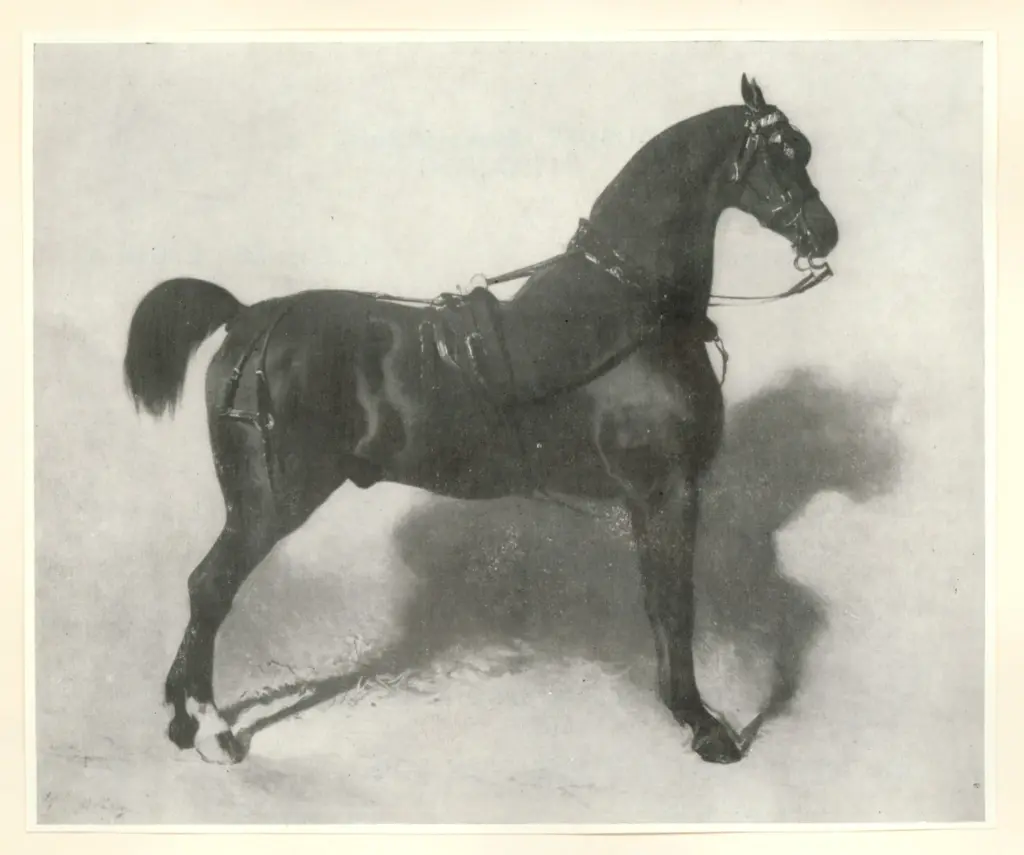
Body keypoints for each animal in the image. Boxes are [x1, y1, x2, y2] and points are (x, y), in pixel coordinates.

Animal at [122, 74, 839, 767]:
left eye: (803, 149)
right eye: (782, 152)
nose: (825, 233)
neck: (628, 311)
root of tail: (250, 317)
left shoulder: (653, 498)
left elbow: (660, 600)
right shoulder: (667, 490)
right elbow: (674, 602)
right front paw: (702, 725)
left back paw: (181, 721)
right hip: (268, 504)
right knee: (209, 587)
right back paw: (212, 729)